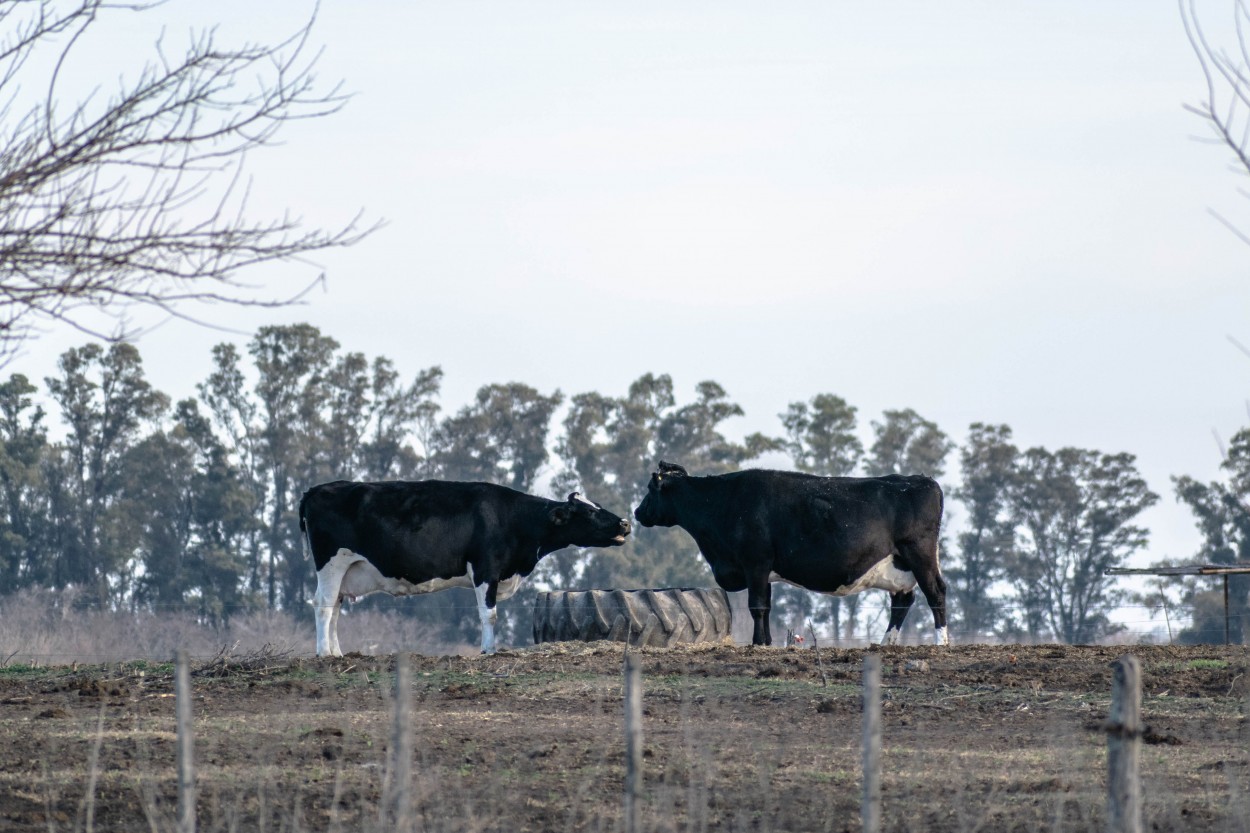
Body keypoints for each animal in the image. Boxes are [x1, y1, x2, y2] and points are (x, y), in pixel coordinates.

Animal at [298, 480, 630, 655]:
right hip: (332, 563)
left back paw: (337, 652)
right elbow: (489, 615)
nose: (625, 523)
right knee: (323, 605)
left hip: (346, 570)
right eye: (589, 512)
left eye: (598, 506)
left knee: (335, 607)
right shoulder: (485, 569)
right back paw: (323, 653)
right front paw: (488, 651)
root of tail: (316, 489)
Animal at [635, 462, 945, 645]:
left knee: (935, 593)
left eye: (650, 488)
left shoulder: (755, 563)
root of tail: (921, 480)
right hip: (899, 565)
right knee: (902, 600)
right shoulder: (763, 571)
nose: (637, 512)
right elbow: (767, 606)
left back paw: (941, 642)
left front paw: (757, 643)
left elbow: (757, 606)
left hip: (920, 553)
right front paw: (767, 641)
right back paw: (885, 644)